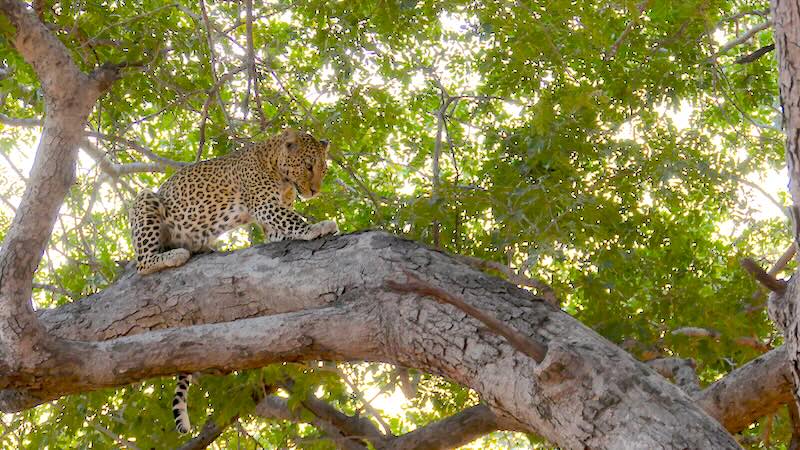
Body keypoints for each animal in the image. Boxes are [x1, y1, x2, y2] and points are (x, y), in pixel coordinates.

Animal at [128, 129, 338, 434]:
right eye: (309, 166)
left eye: (323, 169)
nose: (315, 191)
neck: (279, 169)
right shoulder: (265, 205)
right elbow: (293, 220)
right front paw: (317, 226)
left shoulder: (270, 222)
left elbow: (283, 229)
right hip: (146, 201)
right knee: (143, 262)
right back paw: (175, 255)